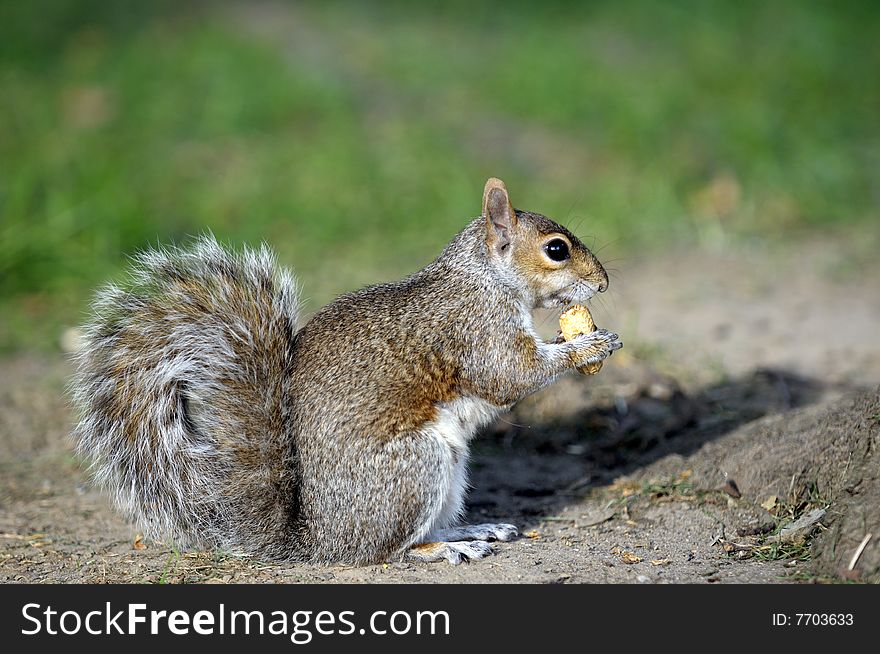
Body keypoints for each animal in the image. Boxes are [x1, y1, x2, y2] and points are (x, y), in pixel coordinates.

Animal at [70, 177, 620, 568]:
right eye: (556, 249)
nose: (603, 283)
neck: (485, 277)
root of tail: (316, 540)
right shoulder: (476, 330)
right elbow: (511, 375)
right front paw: (588, 346)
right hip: (415, 465)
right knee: (384, 550)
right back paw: (442, 549)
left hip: (449, 468)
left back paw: (468, 530)